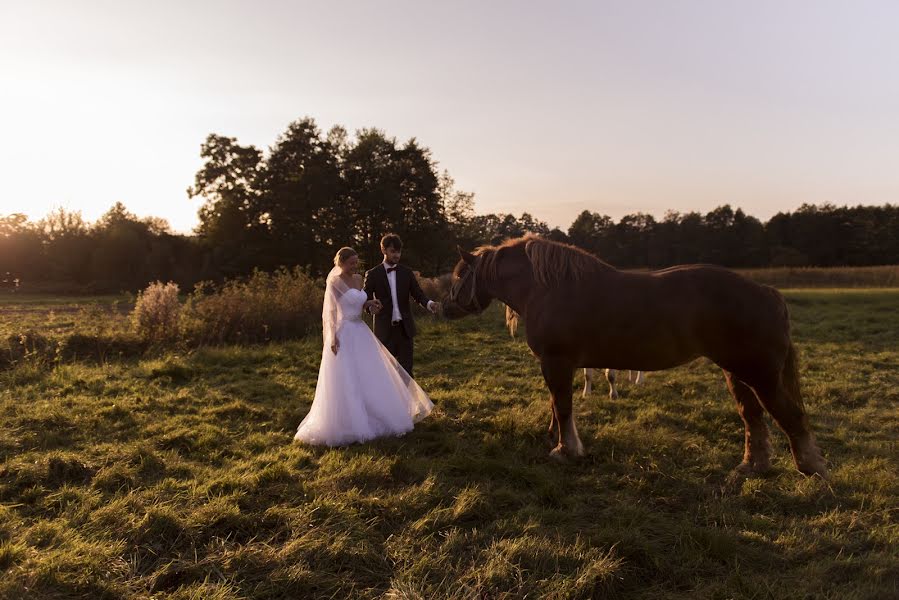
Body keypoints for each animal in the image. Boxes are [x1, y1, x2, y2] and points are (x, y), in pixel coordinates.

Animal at [442, 234, 828, 478]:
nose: (442, 307)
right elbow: (556, 405)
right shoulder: (557, 365)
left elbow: (563, 406)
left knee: (790, 416)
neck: (547, 288)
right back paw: (752, 467)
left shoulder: (557, 362)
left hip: (760, 375)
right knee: (753, 418)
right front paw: (555, 439)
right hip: (736, 374)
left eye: (460, 276)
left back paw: (812, 470)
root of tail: (766, 292)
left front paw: (566, 450)